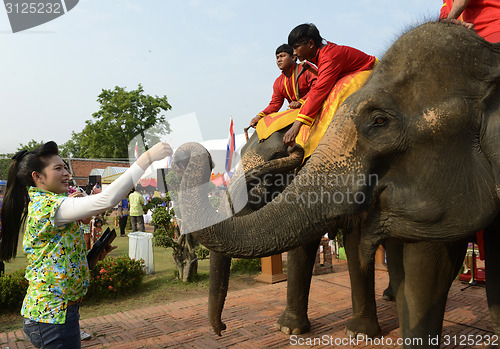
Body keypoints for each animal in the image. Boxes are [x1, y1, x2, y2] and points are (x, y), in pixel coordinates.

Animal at [175, 21, 500, 346]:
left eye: (268, 175)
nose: (221, 329)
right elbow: (303, 244)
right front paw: (290, 329)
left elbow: (355, 243)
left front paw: (358, 333)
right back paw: (392, 297)